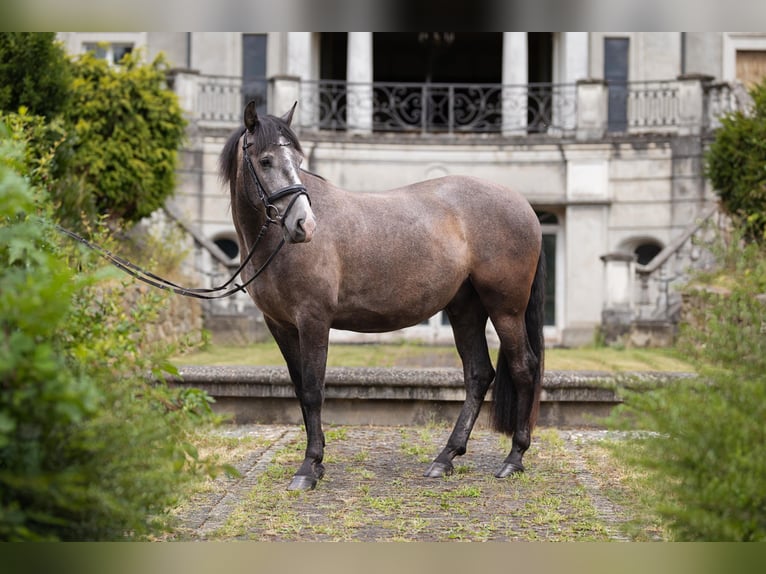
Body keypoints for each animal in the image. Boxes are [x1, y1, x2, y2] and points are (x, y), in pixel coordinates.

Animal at [219, 101, 545, 491]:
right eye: (266, 160)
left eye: (297, 160)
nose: (304, 225)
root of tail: (524, 205)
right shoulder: (279, 325)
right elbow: (299, 389)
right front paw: (318, 458)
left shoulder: (314, 320)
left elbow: (313, 389)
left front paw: (309, 467)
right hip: (466, 308)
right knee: (479, 374)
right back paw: (445, 458)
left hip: (505, 308)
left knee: (524, 368)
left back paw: (514, 458)